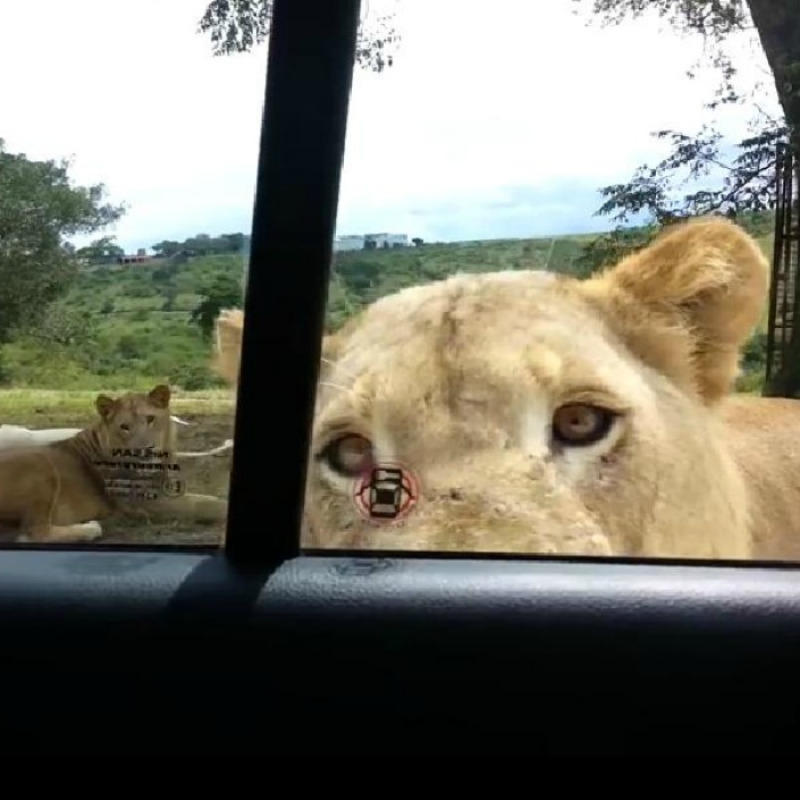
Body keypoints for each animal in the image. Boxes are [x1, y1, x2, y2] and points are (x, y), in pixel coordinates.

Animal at [0, 382, 228, 544]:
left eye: (151, 419)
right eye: (124, 427)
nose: (145, 450)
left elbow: (206, 498)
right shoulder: (147, 503)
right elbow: (205, 505)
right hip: (38, 464)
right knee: (33, 533)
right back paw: (91, 527)